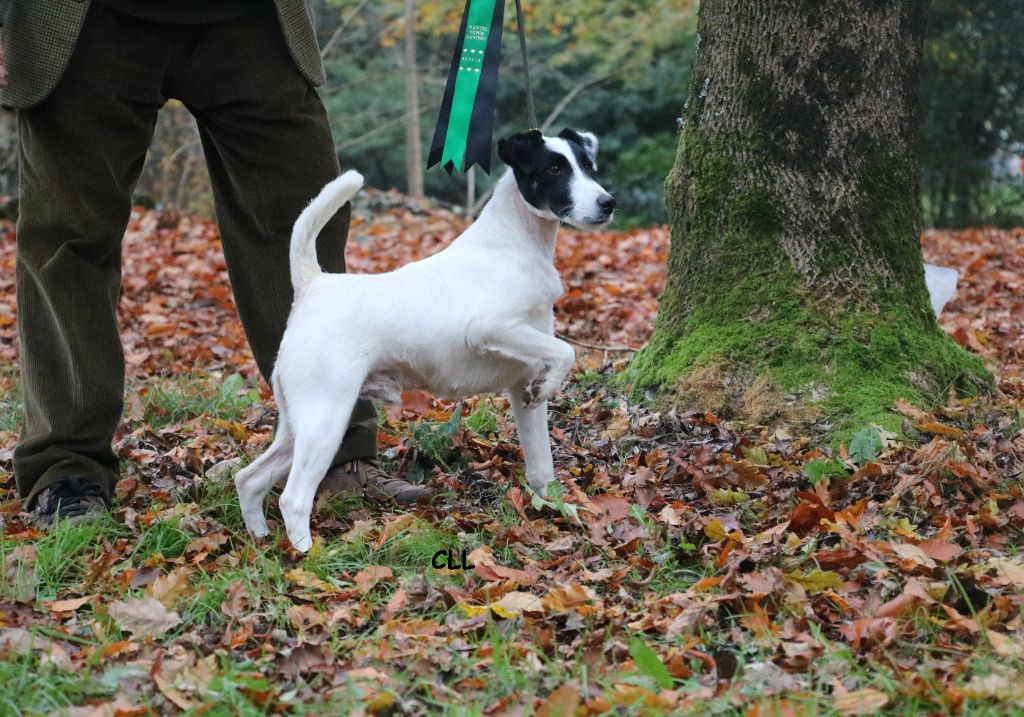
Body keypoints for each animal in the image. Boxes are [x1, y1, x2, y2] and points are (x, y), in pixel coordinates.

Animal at [234, 129, 614, 549]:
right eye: (553, 169)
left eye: (588, 165)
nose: (608, 203)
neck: (513, 244)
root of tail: (313, 285)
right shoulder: (488, 328)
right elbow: (566, 351)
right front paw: (550, 386)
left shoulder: (521, 388)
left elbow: (542, 469)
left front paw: (558, 512)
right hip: (325, 419)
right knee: (293, 497)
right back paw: (308, 556)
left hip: (297, 422)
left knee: (249, 480)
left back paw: (259, 538)